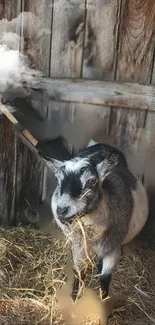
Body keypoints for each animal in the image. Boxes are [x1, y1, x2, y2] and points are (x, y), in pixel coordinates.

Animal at [39, 139, 148, 302]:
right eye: (59, 180)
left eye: (91, 181)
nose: (62, 210)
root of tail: (101, 144)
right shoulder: (79, 248)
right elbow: (79, 274)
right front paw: (74, 301)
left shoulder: (113, 249)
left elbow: (105, 278)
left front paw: (102, 302)